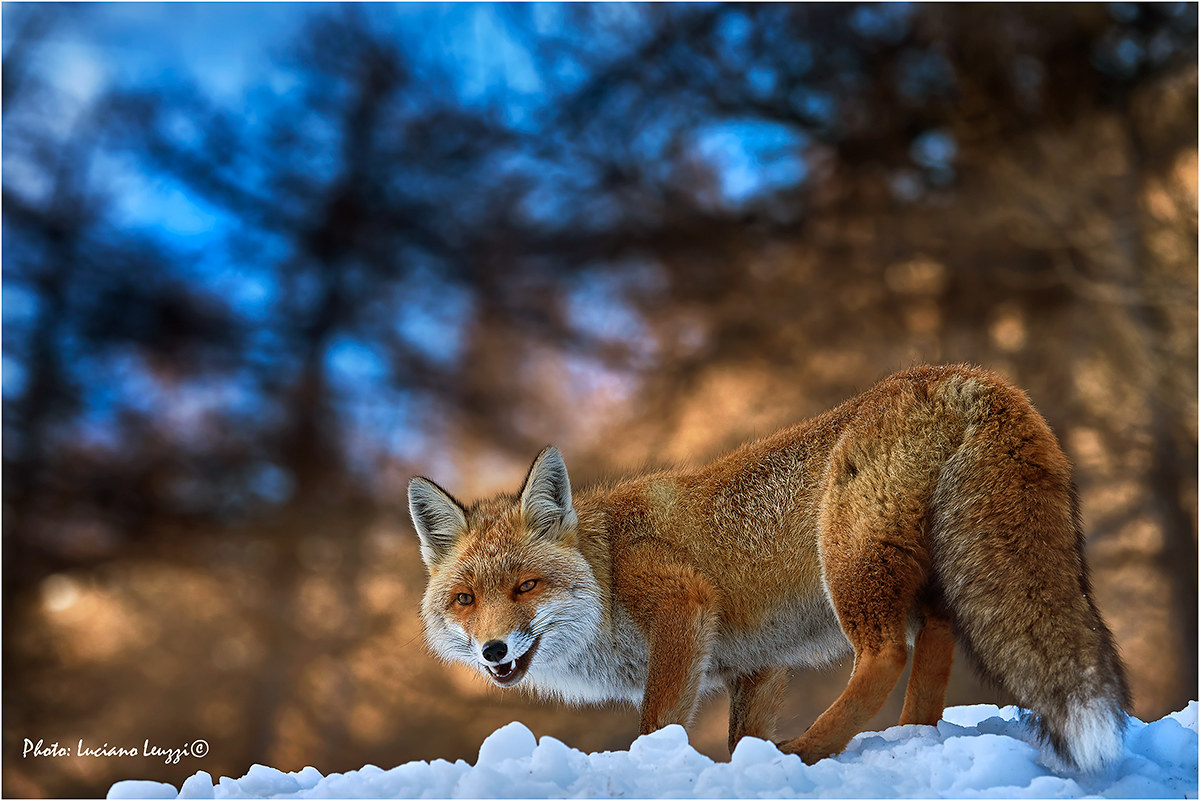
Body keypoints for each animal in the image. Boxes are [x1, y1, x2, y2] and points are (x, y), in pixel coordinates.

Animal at [408, 364, 1130, 772]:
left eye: (526, 585)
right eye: (466, 599)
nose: (494, 649)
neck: (609, 567)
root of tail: (963, 373)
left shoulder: (681, 606)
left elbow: (657, 723)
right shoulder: (756, 663)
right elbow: (739, 736)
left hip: (849, 565)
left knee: (885, 656)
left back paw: (810, 750)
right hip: (925, 580)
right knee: (934, 649)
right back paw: (909, 737)